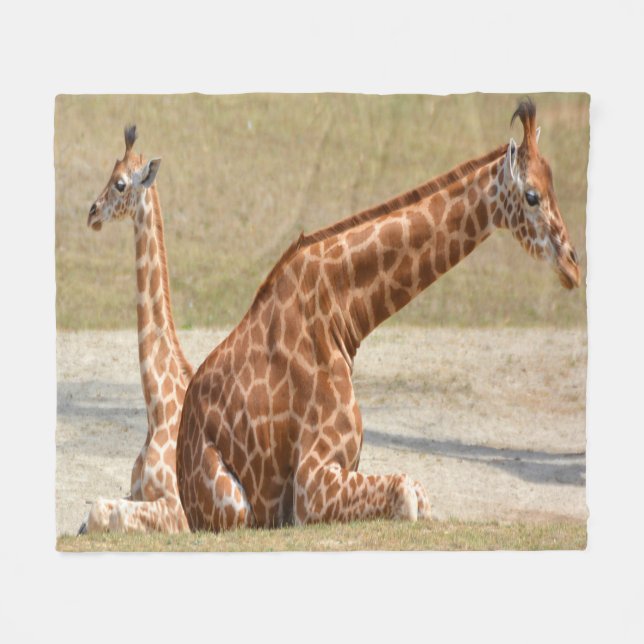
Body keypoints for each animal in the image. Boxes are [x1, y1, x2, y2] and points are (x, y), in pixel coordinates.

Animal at [80, 125, 192, 533]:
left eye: (121, 183)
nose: (92, 213)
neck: (156, 409)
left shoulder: (180, 509)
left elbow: (107, 514)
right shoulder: (135, 491)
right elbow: (98, 509)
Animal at [174, 98, 581, 531]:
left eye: (553, 188)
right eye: (532, 195)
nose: (573, 266)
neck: (339, 314)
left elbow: (418, 493)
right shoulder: (308, 485)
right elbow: (408, 493)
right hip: (233, 506)